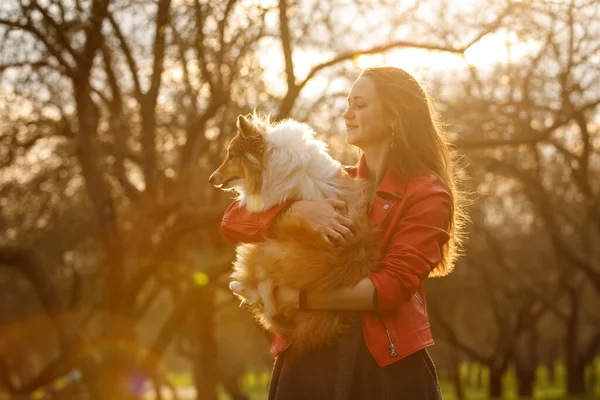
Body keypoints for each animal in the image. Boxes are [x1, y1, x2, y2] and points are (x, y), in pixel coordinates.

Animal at [211, 113, 380, 354]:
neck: (270, 158)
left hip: (264, 250)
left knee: (263, 295)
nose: (210, 178)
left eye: (231, 155)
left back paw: (237, 285)